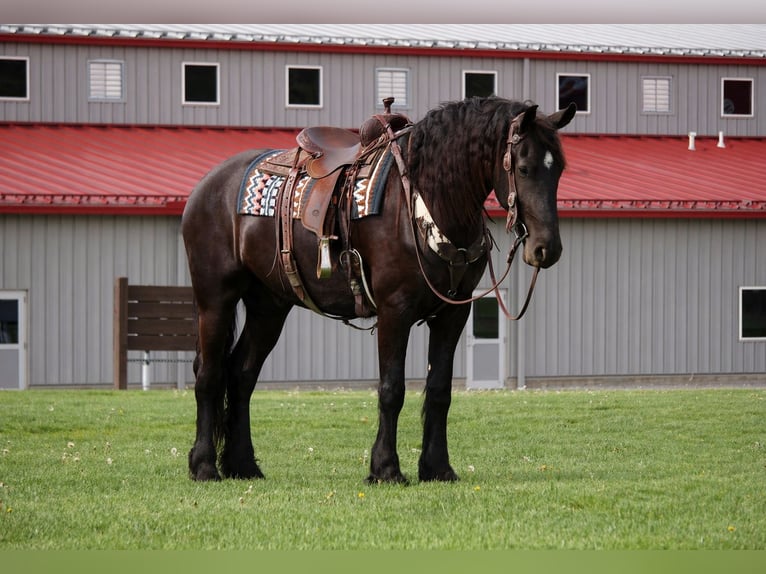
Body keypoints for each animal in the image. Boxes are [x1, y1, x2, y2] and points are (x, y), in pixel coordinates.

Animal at [181, 96, 576, 483]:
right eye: (523, 168)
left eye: (557, 169)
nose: (547, 248)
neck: (424, 200)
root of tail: (207, 186)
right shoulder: (394, 311)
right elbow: (391, 389)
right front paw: (385, 468)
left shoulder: (453, 313)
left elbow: (439, 390)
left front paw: (437, 468)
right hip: (215, 299)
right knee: (209, 375)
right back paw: (204, 466)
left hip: (269, 306)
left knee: (242, 374)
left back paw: (242, 465)